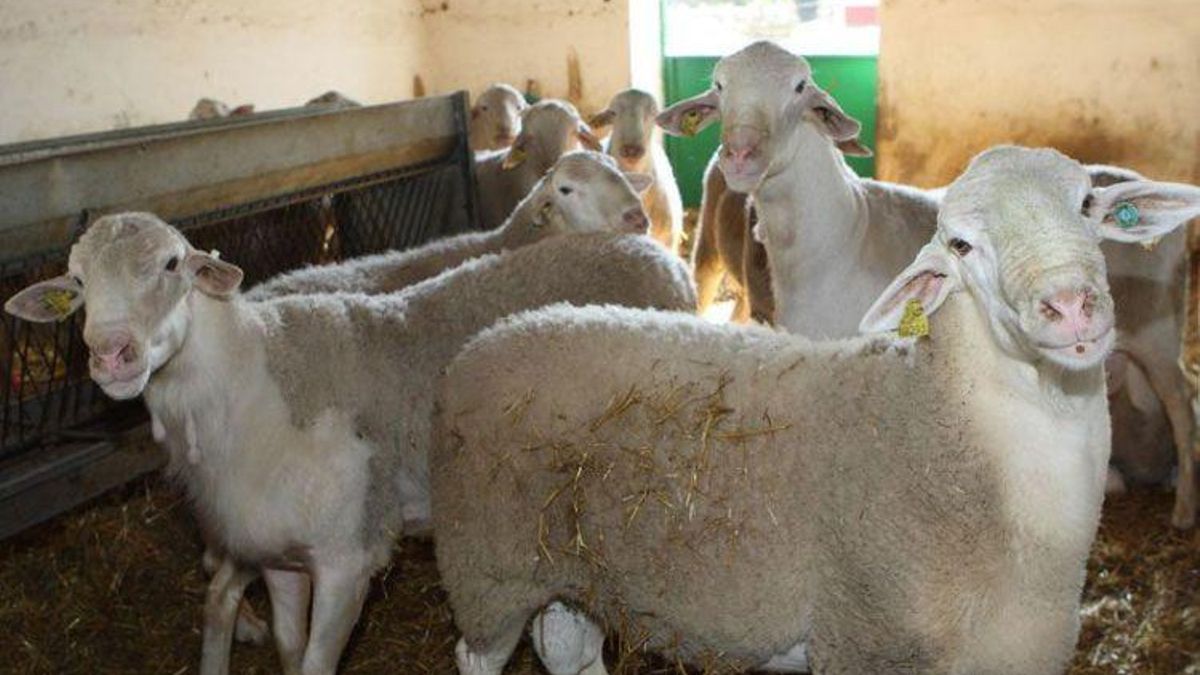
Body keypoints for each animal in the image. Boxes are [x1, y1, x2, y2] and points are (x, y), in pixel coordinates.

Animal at [5, 215, 695, 675]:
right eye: (76, 281)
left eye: (172, 266)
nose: (110, 355)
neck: (257, 382)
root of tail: (654, 252)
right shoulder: (280, 557)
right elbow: (288, 648)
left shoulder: (348, 557)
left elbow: (315, 662)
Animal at [430, 146, 1200, 674]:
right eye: (959, 244)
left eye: (1090, 206)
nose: (1070, 305)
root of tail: (490, 340)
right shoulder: (864, 640)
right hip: (489, 567)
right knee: (480, 654)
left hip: (573, 570)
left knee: (567, 648)